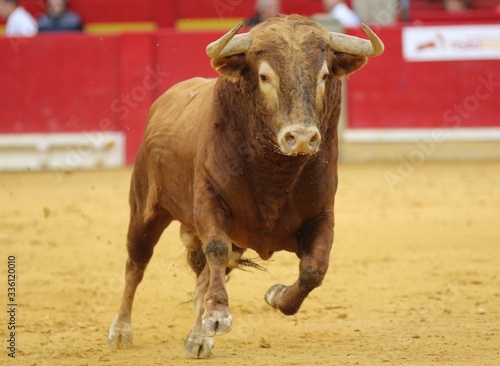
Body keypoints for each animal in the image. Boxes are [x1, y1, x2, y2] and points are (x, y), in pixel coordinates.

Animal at [108, 14, 382, 358]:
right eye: (264, 76)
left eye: (323, 75)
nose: (301, 138)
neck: (275, 174)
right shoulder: (209, 201)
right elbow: (215, 248)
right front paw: (218, 315)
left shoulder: (322, 214)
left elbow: (314, 269)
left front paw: (275, 296)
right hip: (145, 209)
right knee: (136, 263)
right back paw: (121, 330)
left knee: (203, 278)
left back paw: (198, 338)